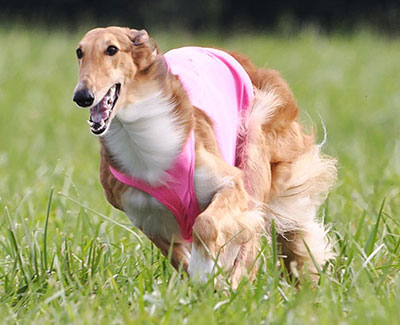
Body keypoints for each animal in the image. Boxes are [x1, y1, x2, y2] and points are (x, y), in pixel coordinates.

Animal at [72, 27, 338, 286]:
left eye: (112, 49)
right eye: (79, 52)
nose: (82, 96)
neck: (143, 145)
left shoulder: (229, 184)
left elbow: (207, 224)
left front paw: (205, 271)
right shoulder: (150, 220)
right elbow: (179, 257)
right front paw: (202, 277)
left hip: (254, 147)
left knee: (252, 245)